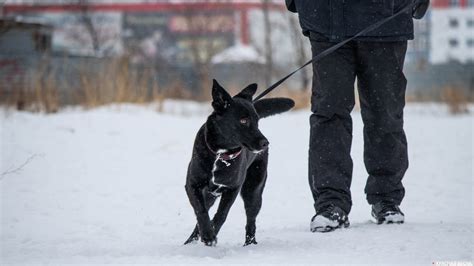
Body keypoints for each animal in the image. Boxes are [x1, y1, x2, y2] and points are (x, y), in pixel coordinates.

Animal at [184, 79, 292, 247]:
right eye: (243, 120)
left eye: (257, 120)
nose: (265, 143)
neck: (220, 154)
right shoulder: (192, 185)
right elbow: (200, 211)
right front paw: (208, 235)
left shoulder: (233, 189)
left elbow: (222, 214)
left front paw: (212, 233)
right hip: (210, 194)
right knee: (203, 213)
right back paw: (191, 241)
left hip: (252, 190)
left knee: (251, 220)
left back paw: (250, 244)